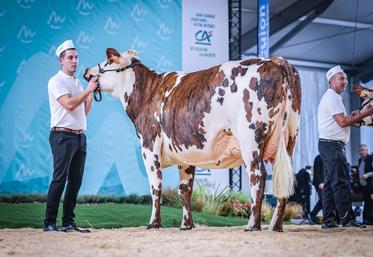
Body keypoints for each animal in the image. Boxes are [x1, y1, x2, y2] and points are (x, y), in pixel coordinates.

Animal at [83, 49, 300, 231]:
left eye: (108, 61)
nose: (86, 71)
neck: (147, 93)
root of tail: (275, 61)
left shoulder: (149, 146)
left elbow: (155, 186)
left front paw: (154, 223)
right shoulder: (185, 156)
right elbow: (184, 190)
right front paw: (186, 225)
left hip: (250, 138)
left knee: (258, 175)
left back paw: (252, 225)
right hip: (290, 139)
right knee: (284, 183)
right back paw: (275, 226)